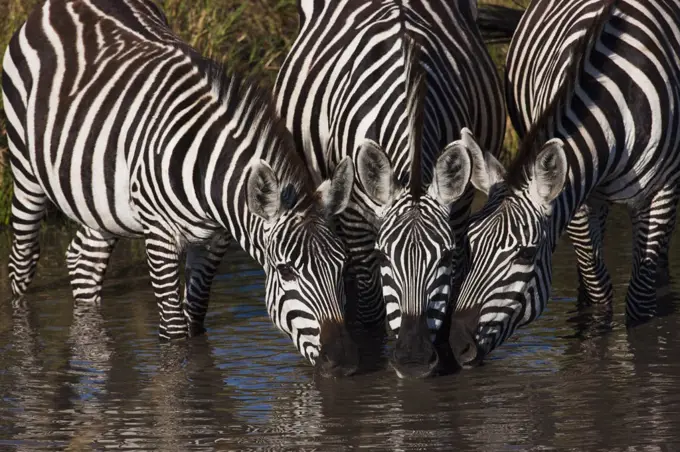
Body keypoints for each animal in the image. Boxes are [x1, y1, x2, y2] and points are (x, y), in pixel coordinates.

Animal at [1, 0, 362, 376]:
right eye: (286, 270)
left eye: (342, 265)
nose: (345, 364)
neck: (208, 175)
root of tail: (63, 4)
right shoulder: (161, 238)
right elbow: (174, 334)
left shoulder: (215, 241)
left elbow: (196, 319)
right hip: (25, 169)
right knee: (22, 261)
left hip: (98, 196)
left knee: (84, 259)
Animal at [274, 0, 504, 378]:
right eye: (384, 256)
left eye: (443, 256)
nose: (412, 359)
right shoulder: (354, 216)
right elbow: (370, 309)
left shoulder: (458, 211)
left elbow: (450, 294)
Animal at [448, 0, 680, 368]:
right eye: (469, 244)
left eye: (527, 254)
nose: (457, 347)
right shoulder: (578, 199)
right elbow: (599, 287)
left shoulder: (661, 191)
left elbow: (639, 300)